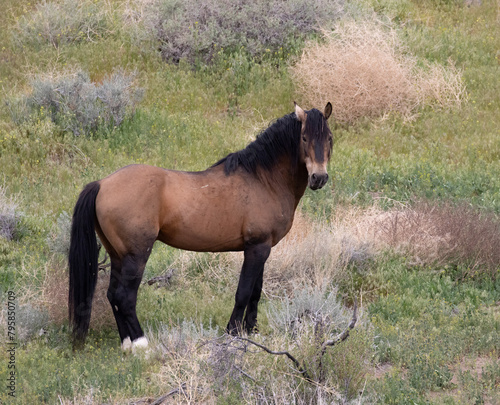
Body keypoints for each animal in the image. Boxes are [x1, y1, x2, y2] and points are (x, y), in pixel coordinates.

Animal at [67, 102, 332, 350]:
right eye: (304, 137)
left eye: (329, 138)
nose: (319, 178)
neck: (262, 180)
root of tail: (102, 184)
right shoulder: (256, 248)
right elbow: (243, 292)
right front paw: (232, 333)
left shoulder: (263, 248)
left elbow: (256, 292)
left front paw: (251, 331)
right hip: (136, 256)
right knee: (124, 297)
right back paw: (142, 345)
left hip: (117, 255)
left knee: (113, 295)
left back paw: (127, 345)